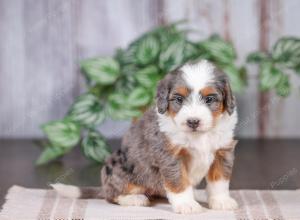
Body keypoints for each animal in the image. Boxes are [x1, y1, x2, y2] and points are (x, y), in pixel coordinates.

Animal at [52, 59, 239, 214]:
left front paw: (221, 201)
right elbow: (178, 182)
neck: (199, 135)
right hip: (118, 168)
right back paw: (134, 198)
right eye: (179, 99)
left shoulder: (222, 152)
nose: (193, 121)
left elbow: (219, 181)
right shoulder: (170, 156)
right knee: (112, 194)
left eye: (209, 99)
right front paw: (187, 204)